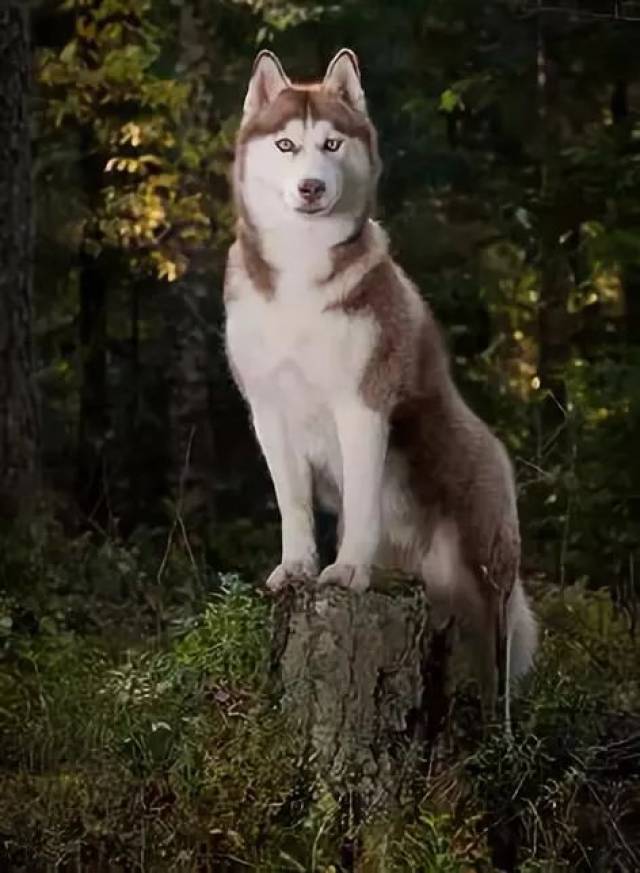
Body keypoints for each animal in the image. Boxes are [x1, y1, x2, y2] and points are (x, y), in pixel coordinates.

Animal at [224, 49, 536, 716]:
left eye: (332, 143)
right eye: (286, 144)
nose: (311, 187)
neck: (300, 275)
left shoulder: (361, 405)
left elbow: (362, 497)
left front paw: (347, 573)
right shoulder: (268, 409)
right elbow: (292, 503)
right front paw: (296, 568)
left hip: (491, 576)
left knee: (500, 670)